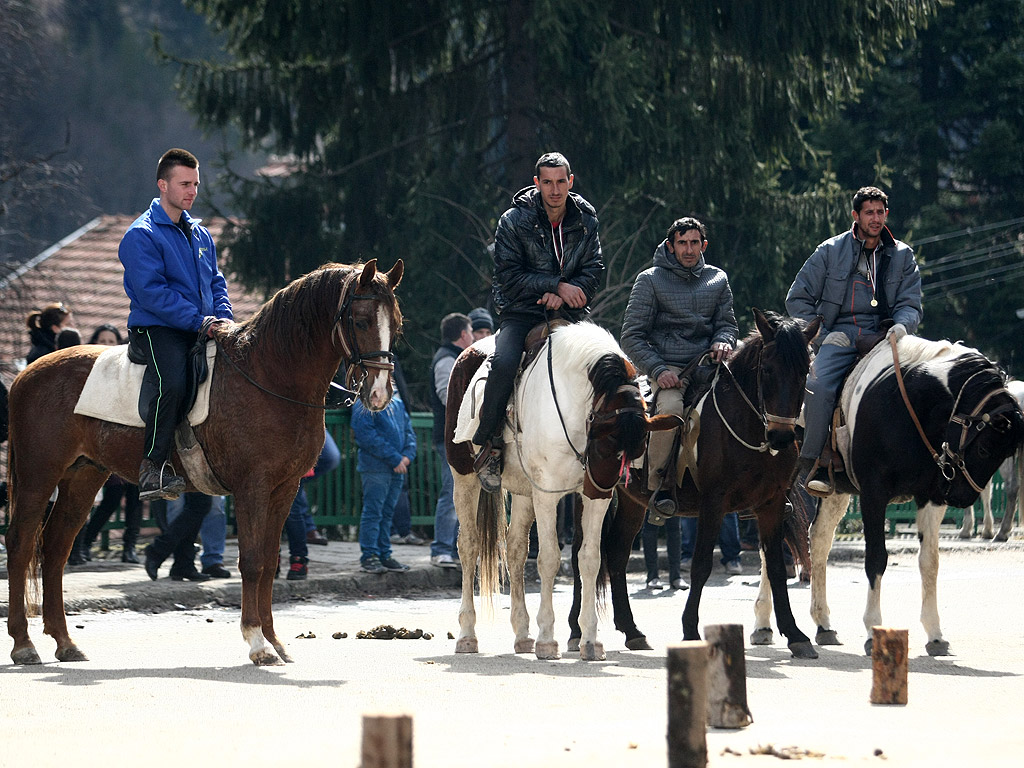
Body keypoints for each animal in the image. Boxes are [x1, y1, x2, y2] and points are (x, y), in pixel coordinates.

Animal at [6, 260, 401, 667]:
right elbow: (252, 561)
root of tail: (27, 373)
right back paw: (23, 643)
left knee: (55, 549)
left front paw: (274, 640)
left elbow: (270, 562)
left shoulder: (284, 489)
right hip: (39, 475)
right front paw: (257, 642)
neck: (269, 376)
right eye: (361, 321)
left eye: (397, 323)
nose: (379, 393)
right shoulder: (253, 488)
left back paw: (64, 640)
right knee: (21, 543)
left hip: (83, 477)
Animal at [446, 321, 671, 659]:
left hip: (523, 491)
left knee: (515, 549)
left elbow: (590, 558)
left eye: (637, 449)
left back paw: (522, 633)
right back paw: (467, 634)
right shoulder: (548, 494)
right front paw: (547, 638)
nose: (604, 484)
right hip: (465, 478)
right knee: (469, 546)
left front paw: (590, 640)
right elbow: (550, 558)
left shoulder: (589, 498)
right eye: (607, 442)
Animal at [565, 309, 819, 659]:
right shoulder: (714, 503)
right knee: (583, 552)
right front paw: (689, 630)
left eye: (804, 371)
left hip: (631, 501)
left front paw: (796, 635)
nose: (781, 436)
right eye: (767, 369)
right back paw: (577, 630)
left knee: (616, 552)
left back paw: (632, 630)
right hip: (589, 495)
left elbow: (777, 568)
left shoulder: (772, 503)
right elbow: (700, 565)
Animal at [753, 335, 1024, 655]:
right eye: (983, 449)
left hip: (834, 491)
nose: (960, 497)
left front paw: (935, 633)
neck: (911, 406)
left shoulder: (931, 497)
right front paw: (873, 629)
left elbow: (930, 561)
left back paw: (823, 623)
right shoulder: (873, 494)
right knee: (771, 544)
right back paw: (762, 624)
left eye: (1006, 453)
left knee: (818, 540)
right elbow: (876, 558)